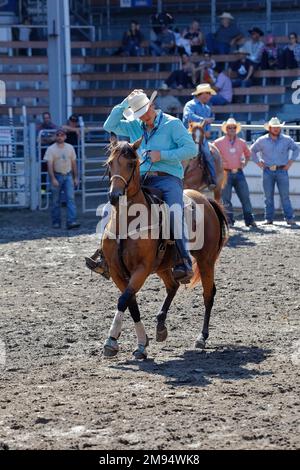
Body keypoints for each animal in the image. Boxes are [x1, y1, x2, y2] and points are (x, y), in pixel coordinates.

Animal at [101, 138, 227, 358]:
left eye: (131, 164)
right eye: (110, 163)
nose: (115, 196)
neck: (127, 223)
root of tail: (206, 199)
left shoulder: (141, 269)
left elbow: (123, 300)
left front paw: (111, 341)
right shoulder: (117, 272)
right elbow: (131, 303)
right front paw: (142, 343)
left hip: (206, 260)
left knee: (208, 294)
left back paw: (202, 337)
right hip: (163, 265)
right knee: (173, 286)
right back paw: (160, 325)